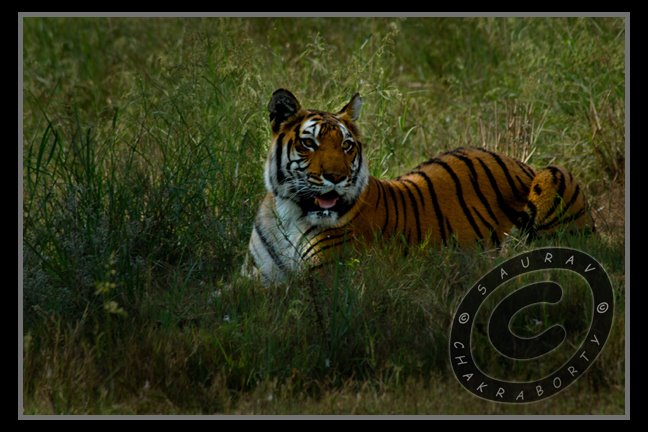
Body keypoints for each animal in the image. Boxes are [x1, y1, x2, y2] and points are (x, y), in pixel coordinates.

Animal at [243, 88, 594, 284]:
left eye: (346, 146)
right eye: (309, 144)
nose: (337, 177)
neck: (291, 213)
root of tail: (520, 161)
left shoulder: (328, 279)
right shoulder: (255, 276)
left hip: (553, 175)